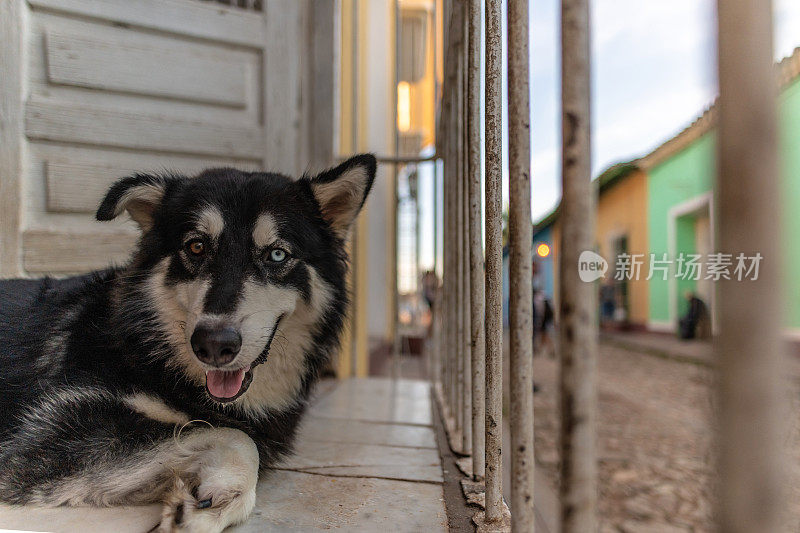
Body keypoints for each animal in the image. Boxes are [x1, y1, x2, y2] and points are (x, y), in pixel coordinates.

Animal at [0, 155, 376, 532]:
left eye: (277, 255)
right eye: (196, 246)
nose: (213, 344)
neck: (150, 352)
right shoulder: (53, 433)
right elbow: (232, 433)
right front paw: (218, 494)